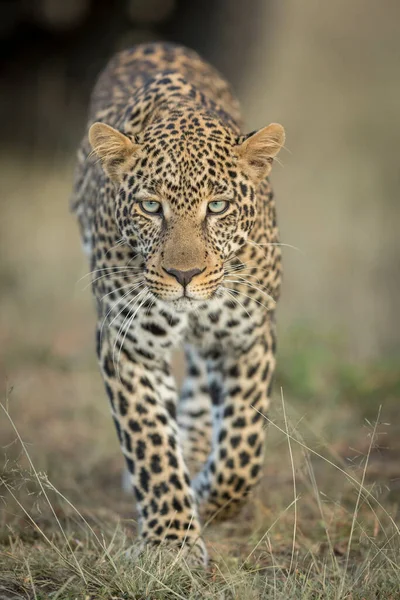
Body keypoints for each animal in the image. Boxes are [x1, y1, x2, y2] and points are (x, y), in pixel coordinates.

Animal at [71, 42, 284, 568]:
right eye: (151, 207)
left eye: (218, 206)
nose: (184, 276)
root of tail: (151, 43)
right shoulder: (128, 344)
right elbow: (149, 442)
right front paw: (171, 542)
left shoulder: (248, 335)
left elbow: (242, 450)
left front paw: (209, 493)